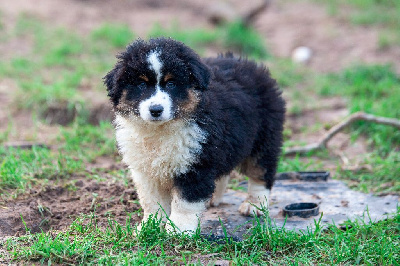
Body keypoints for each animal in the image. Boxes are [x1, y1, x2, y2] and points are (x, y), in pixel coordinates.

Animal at [103, 37, 284, 233]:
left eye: (171, 83)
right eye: (141, 84)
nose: (156, 110)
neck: (160, 131)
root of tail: (249, 64)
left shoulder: (195, 163)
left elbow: (185, 201)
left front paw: (178, 229)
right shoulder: (145, 169)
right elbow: (151, 200)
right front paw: (150, 226)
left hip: (264, 137)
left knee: (261, 171)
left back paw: (254, 205)